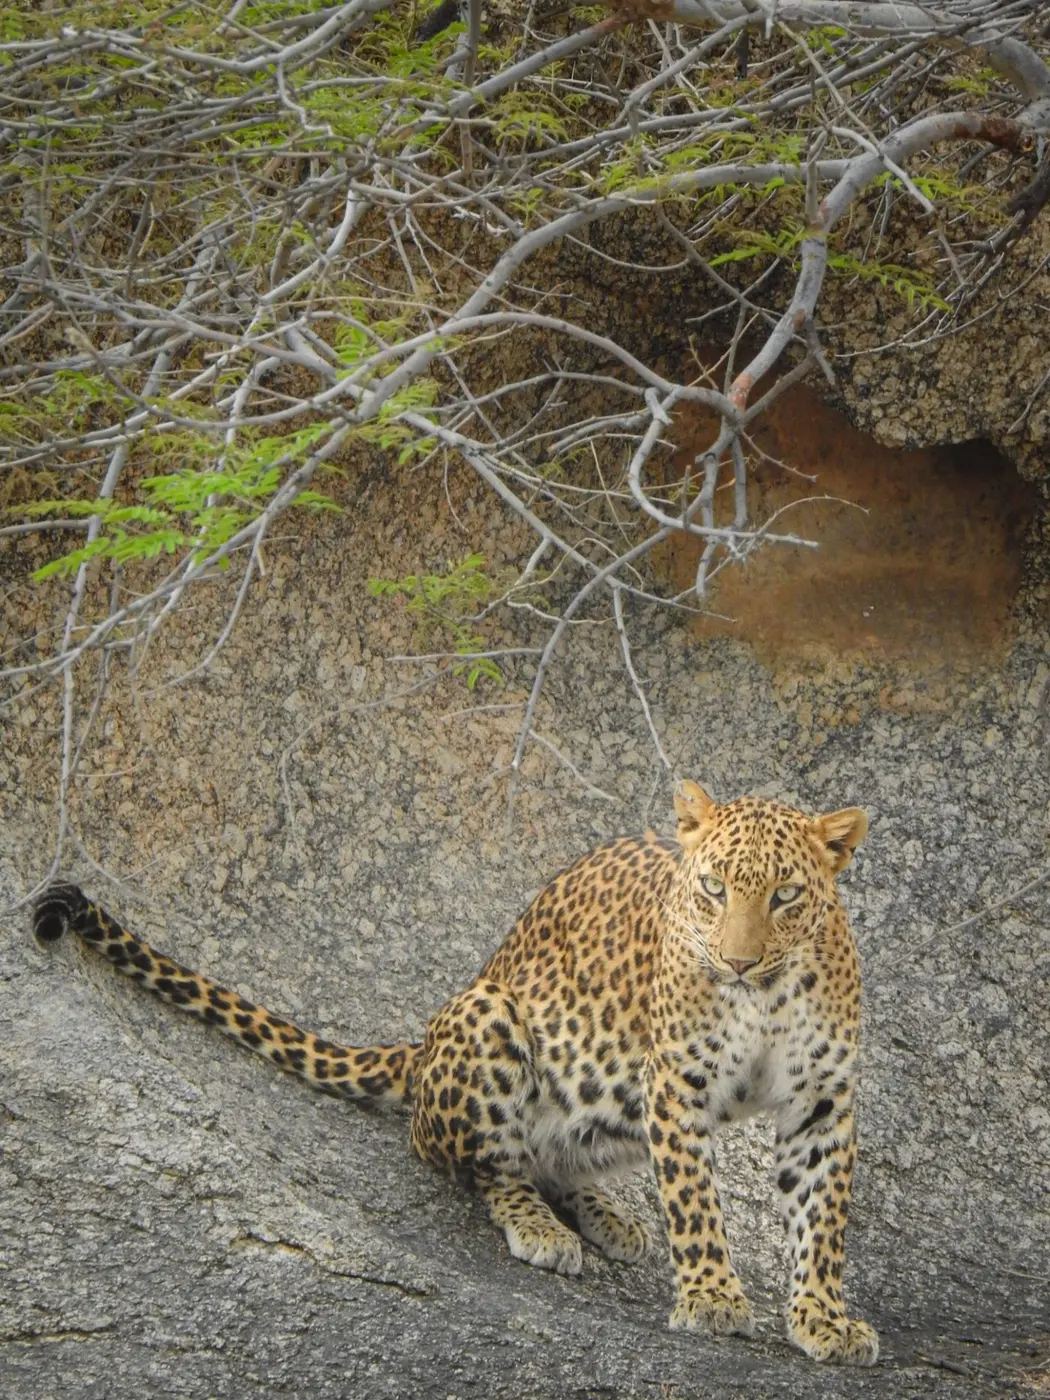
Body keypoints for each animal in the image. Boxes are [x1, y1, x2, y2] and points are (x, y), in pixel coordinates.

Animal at [32, 779, 877, 1366]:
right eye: (712, 889)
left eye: (786, 895)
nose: (736, 961)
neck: (764, 998)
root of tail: (422, 1041)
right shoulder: (678, 1081)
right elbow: (696, 1199)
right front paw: (712, 1298)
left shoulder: (822, 1099)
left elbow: (823, 1217)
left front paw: (824, 1318)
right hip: (491, 1018)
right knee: (477, 1161)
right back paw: (542, 1228)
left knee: (557, 1157)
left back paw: (607, 1215)